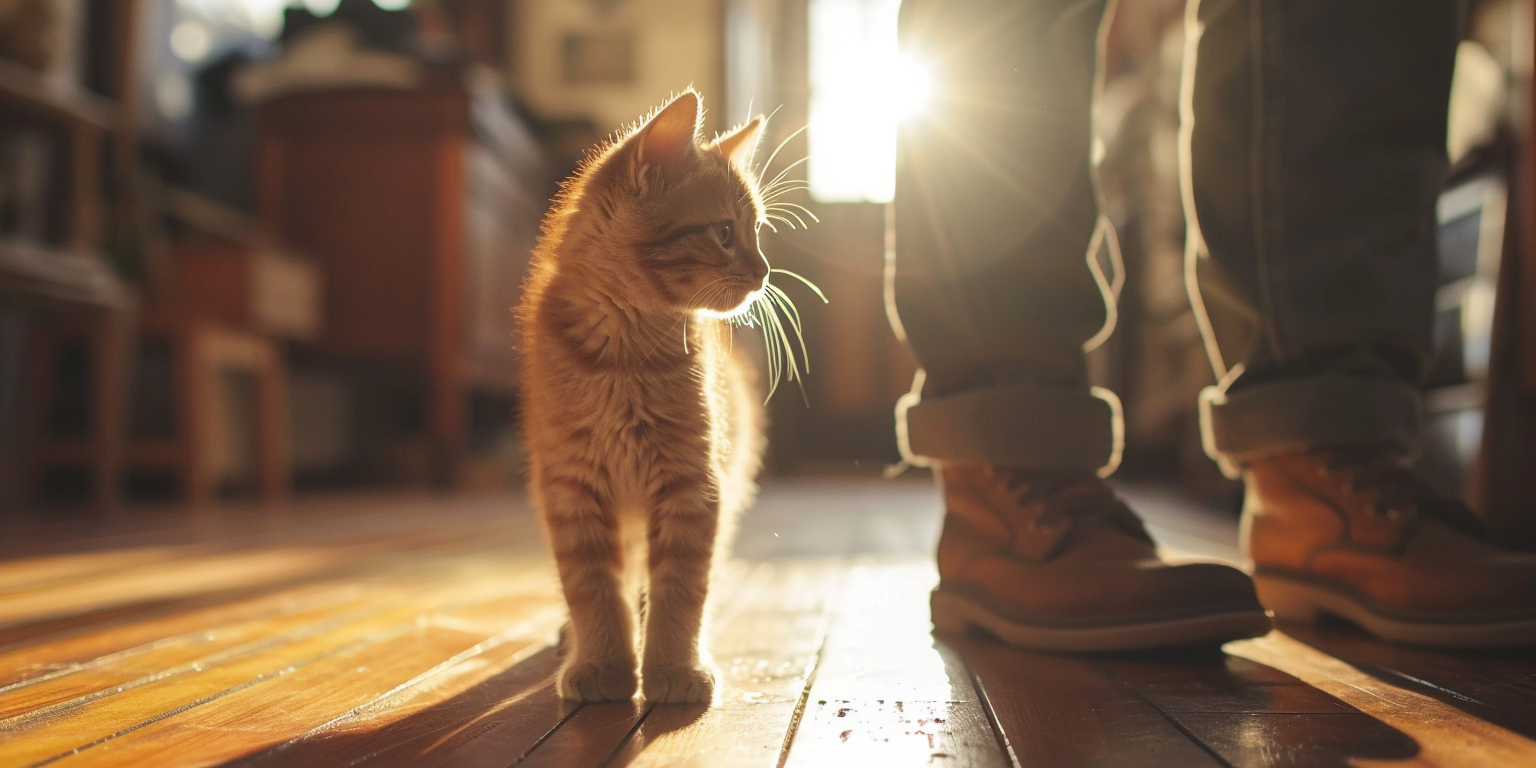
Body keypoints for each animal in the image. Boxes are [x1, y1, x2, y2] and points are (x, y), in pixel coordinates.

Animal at [522, 89, 768, 703]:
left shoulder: (693, 484)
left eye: (758, 231)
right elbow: (591, 587)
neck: (624, 357)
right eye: (724, 233)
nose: (763, 272)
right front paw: (604, 662)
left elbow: (681, 587)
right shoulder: (571, 486)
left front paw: (674, 667)